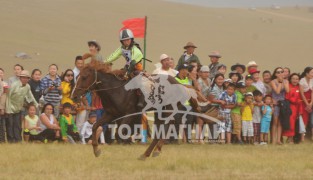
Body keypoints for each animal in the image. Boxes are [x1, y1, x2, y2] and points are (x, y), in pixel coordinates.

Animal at [71, 61, 200, 159]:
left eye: (84, 77)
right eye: (77, 77)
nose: (74, 96)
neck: (116, 90)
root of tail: (180, 84)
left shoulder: (129, 114)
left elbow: (119, 133)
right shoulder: (110, 114)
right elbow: (95, 126)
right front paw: (96, 150)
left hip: (167, 110)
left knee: (168, 126)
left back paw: (155, 150)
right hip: (159, 111)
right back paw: (147, 153)